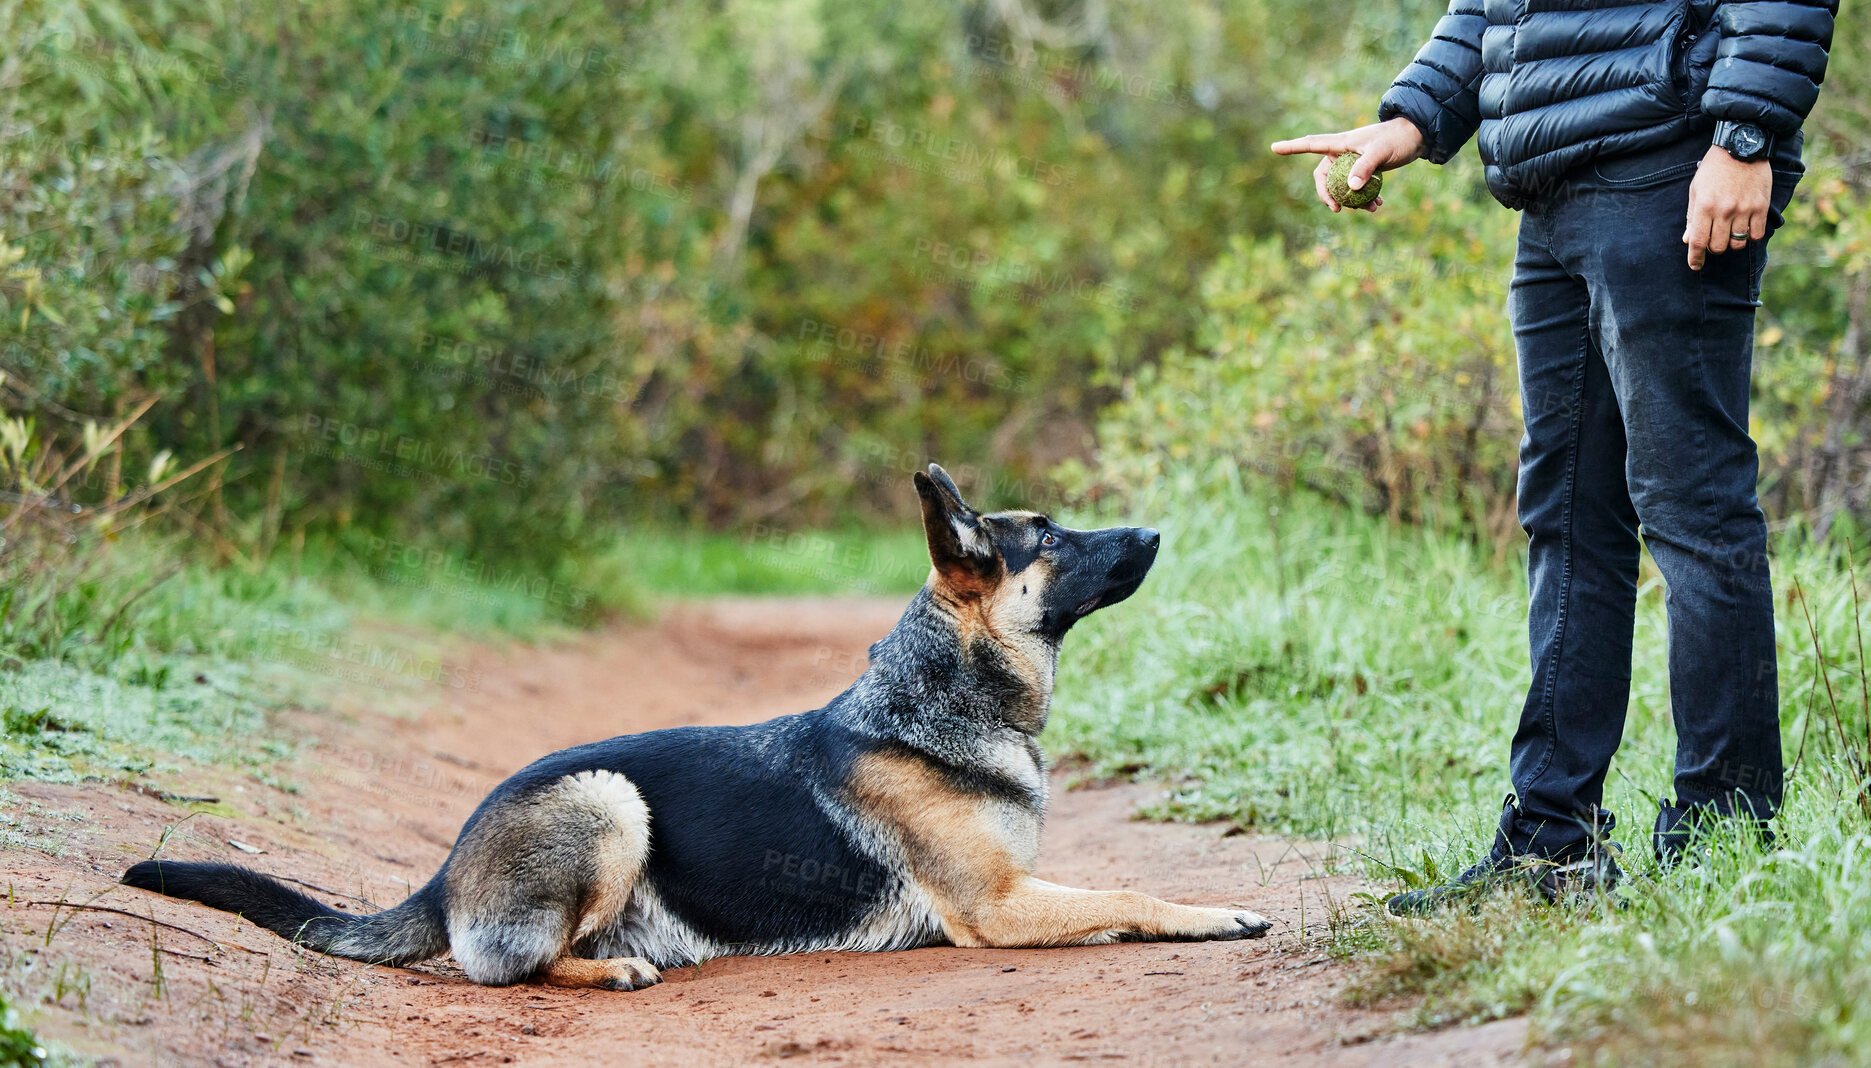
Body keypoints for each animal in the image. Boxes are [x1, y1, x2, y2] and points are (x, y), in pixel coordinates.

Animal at [120, 467, 1272, 995]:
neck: (938, 701)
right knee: (508, 965)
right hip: (605, 800)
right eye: (1053, 538)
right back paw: (609, 972)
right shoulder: (993, 907)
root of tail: (446, 872)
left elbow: (1116, 890)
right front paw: (1215, 914)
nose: (1155, 530)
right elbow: (1128, 895)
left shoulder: (1015, 887)